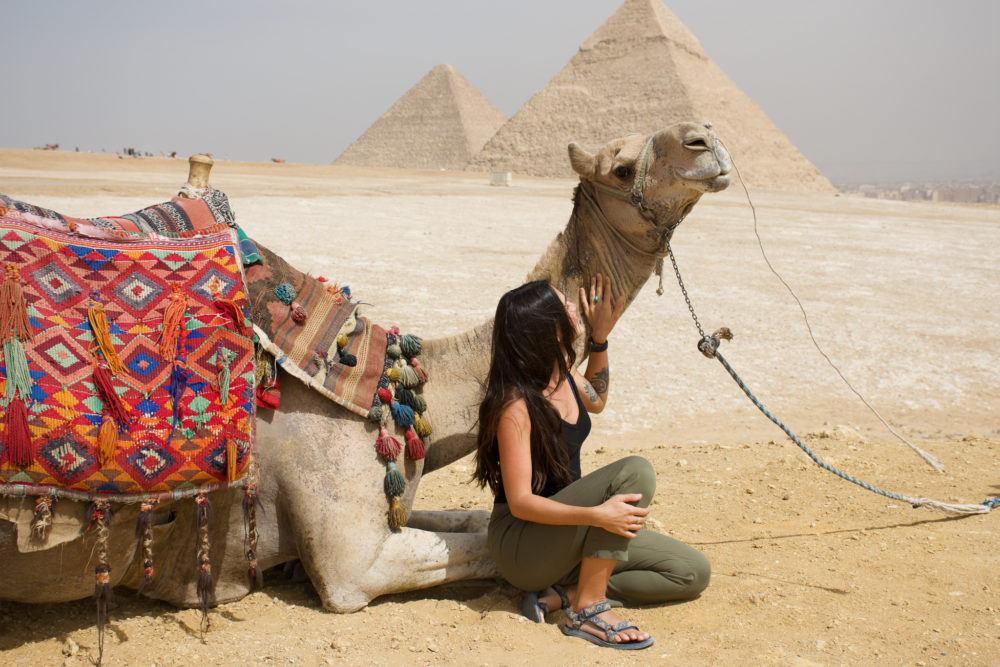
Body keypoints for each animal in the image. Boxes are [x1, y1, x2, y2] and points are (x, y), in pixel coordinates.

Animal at [1, 122, 736, 612]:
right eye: (621, 166)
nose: (707, 141)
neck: (393, 386)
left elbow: (467, 520)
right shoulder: (350, 565)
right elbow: (485, 543)